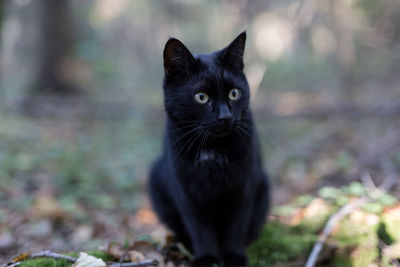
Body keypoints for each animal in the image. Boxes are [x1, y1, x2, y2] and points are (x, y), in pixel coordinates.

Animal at [148, 32, 270, 266]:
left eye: (234, 93)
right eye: (201, 97)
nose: (225, 116)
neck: (213, 150)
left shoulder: (242, 187)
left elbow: (236, 225)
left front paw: (234, 256)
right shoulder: (187, 192)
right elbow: (200, 229)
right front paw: (206, 258)